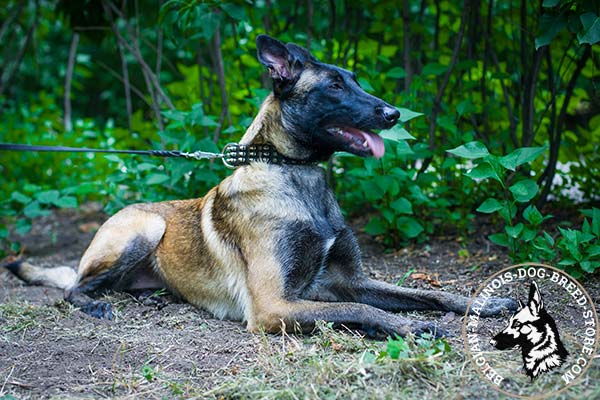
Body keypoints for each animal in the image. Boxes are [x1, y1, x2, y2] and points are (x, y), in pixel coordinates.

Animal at [1, 35, 516, 338]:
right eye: (334, 87)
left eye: (355, 80)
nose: (391, 114)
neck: (298, 180)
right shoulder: (274, 305)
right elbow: (366, 312)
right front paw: (419, 329)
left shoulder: (348, 281)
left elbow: (429, 295)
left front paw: (485, 303)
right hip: (144, 228)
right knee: (73, 287)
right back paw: (94, 305)